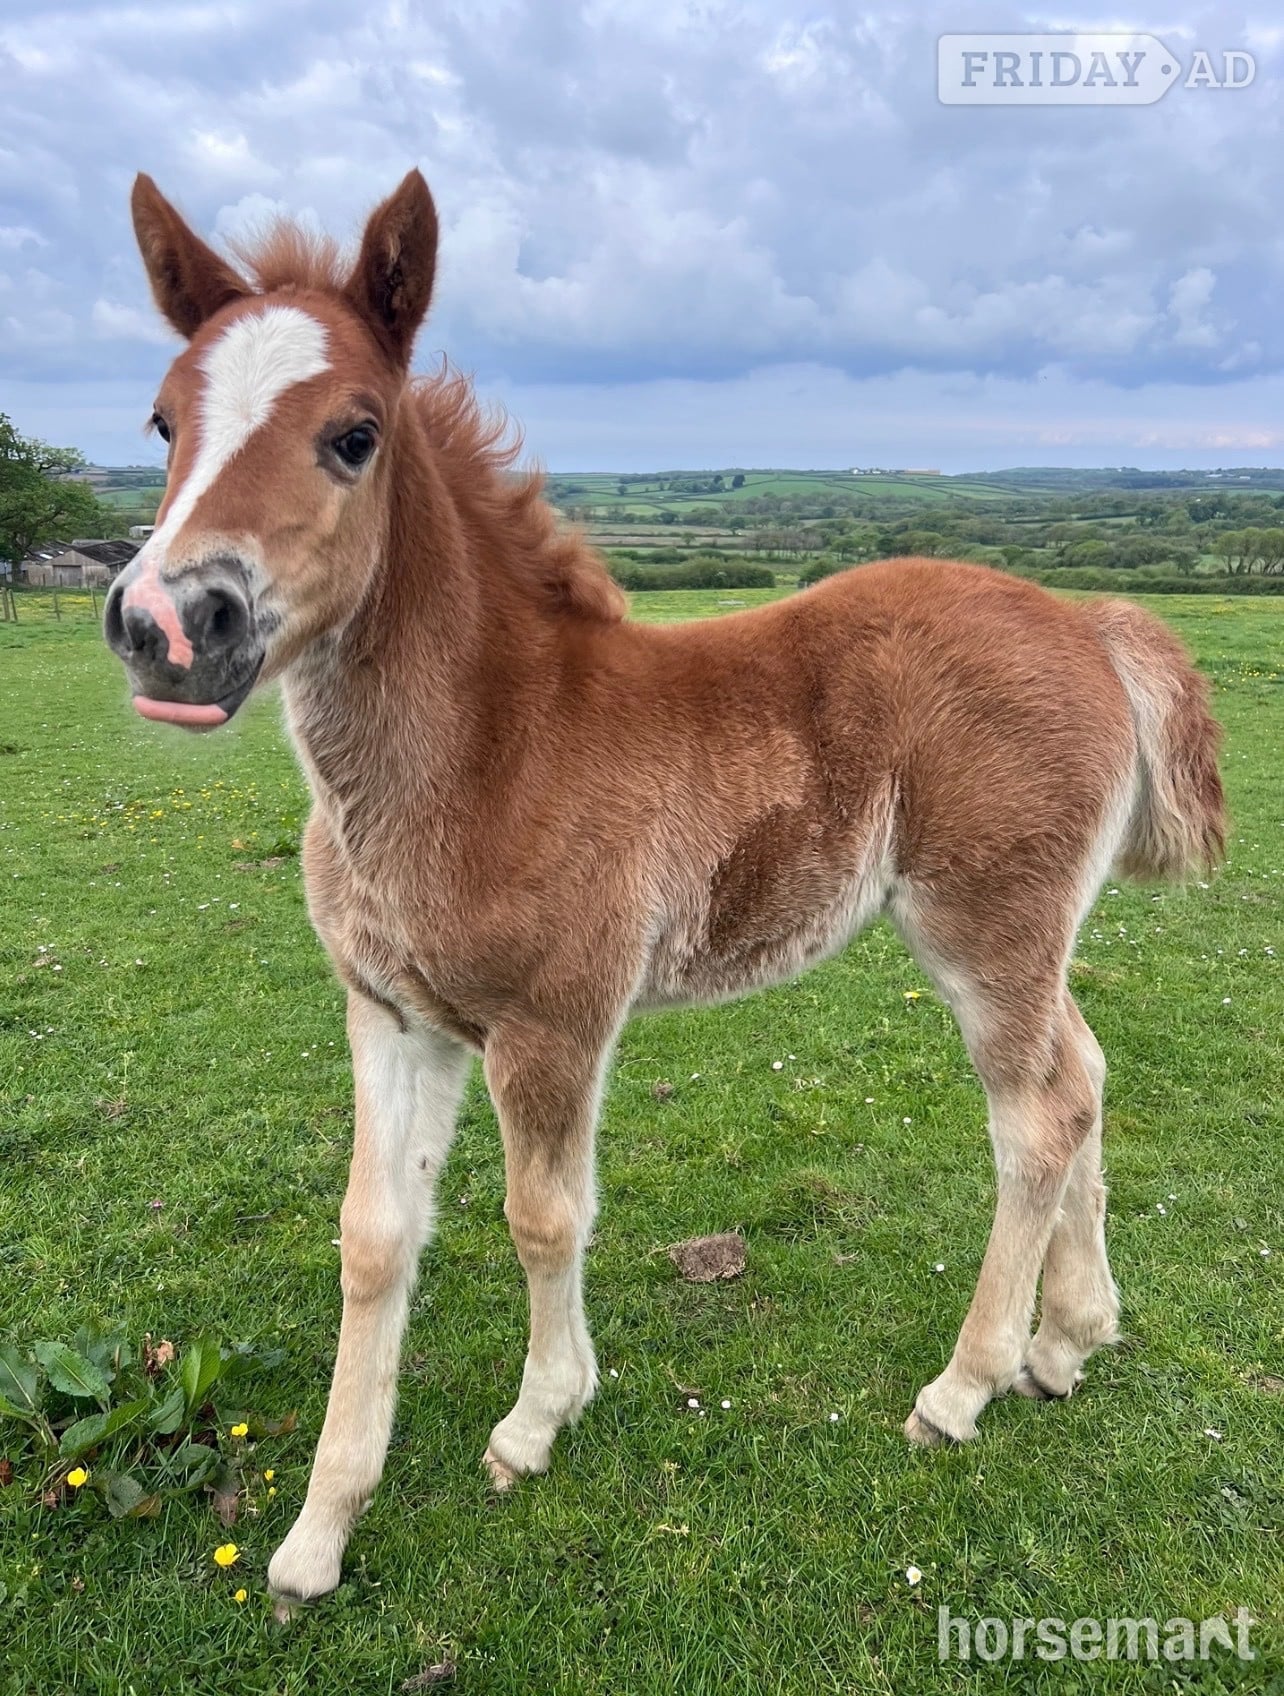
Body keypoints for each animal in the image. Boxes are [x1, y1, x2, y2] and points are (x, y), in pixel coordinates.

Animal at [104, 169, 1225, 1603]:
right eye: (161, 421)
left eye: (354, 435)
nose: (169, 626)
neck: (487, 746)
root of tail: (1088, 620)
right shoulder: (391, 1014)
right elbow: (372, 1237)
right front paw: (315, 1534)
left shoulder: (554, 1022)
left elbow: (543, 1218)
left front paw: (538, 1418)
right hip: (1030, 941)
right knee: (1083, 1078)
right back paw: (1069, 1341)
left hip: (984, 930)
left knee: (1035, 1122)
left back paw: (962, 1386)